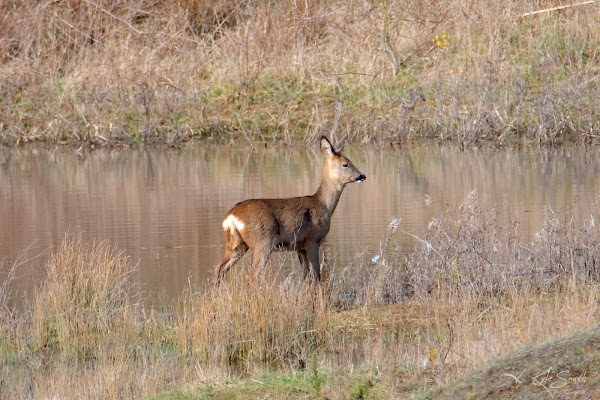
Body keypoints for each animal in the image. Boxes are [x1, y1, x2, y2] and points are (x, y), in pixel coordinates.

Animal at [216, 134, 366, 282]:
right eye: (345, 164)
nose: (362, 176)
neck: (324, 204)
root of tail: (231, 217)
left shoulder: (300, 246)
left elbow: (307, 276)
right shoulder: (313, 240)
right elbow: (316, 275)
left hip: (237, 244)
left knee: (220, 269)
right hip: (263, 242)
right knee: (252, 274)